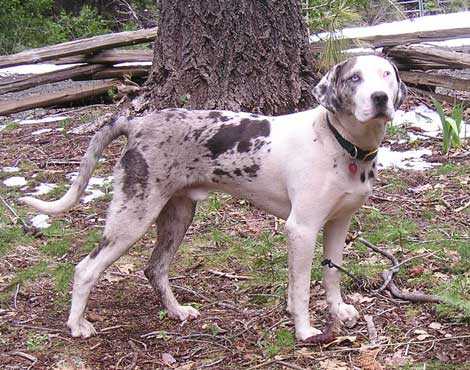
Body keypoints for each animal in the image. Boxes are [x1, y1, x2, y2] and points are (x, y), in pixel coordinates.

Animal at [20, 55, 406, 342]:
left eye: (387, 75)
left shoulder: (339, 224)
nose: (380, 98)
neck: (342, 144)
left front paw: (337, 311)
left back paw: (176, 311)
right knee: (86, 268)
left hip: (177, 216)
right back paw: (76, 325)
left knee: (155, 268)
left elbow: (331, 275)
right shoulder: (302, 229)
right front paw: (305, 330)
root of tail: (136, 123)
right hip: (132, 218)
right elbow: (300, 289)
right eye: (354, 78)